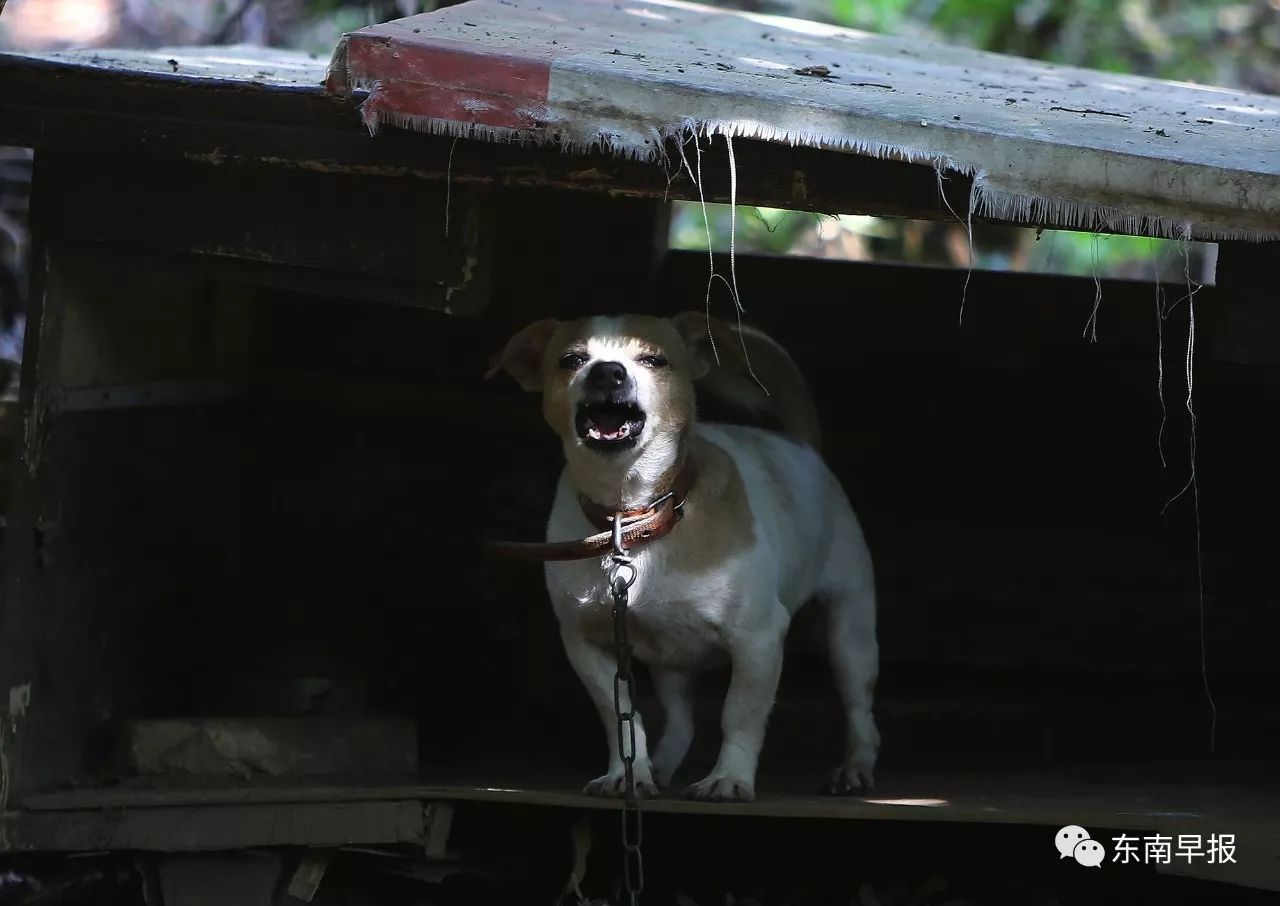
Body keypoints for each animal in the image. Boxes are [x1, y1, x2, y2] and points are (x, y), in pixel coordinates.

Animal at [488, 310, 880, 798]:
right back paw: (659, 768)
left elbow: (741, 714)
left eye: (654, 360)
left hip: (849, 637)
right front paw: (628, 773)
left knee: (859, 709)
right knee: (680, 723)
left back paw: (855, 767)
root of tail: (801, 447)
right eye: (572, 360)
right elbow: (620, 717)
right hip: (671, 665)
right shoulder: (587, 645)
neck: (633, 516)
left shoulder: (758, 639)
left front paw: (729, 778)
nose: (607, 371)